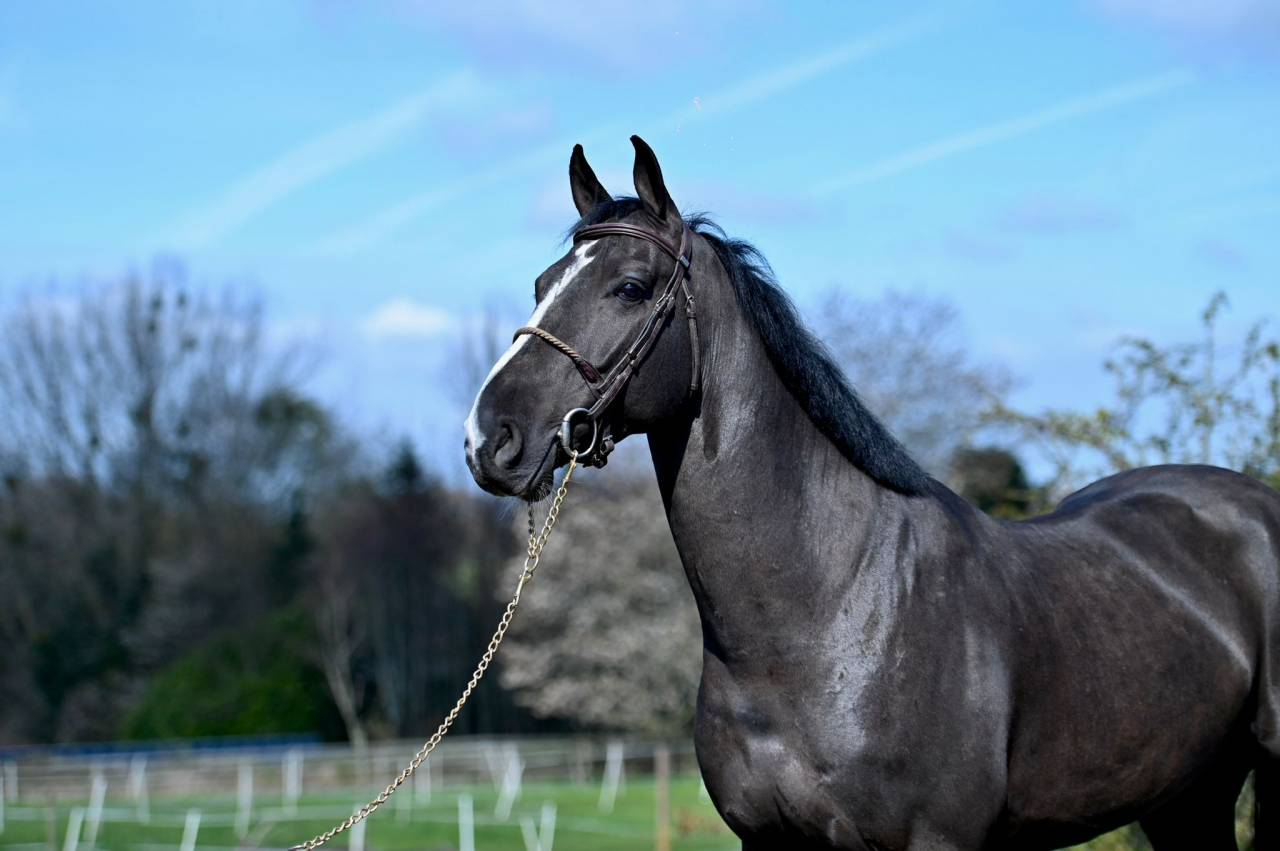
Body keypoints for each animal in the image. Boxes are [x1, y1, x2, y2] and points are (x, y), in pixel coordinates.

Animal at [463, 135, 1280, 850]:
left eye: (630, 288)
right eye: (542, 285)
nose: (488, 437)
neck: (829, 610)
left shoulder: (937, 840)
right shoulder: (767, 840)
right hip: (1187, 799)